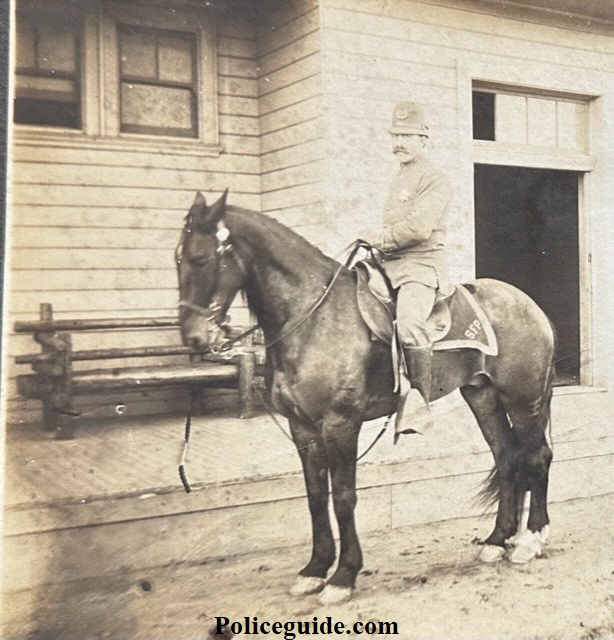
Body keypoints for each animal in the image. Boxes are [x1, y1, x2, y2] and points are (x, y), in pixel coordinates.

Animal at [178, 190, 560, 604]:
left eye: (202, 260)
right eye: (178, 259)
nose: (192, 339)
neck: (312, 317)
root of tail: (528, 304)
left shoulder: (340, 425)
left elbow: (344, 497)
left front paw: (343, 575)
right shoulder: (302, 427)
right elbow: (316, 496)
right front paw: (314, 569)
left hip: (523, 399)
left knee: (537, 456)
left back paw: (530, 541)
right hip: (482, 395)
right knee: (506, 457)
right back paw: (496, 541)